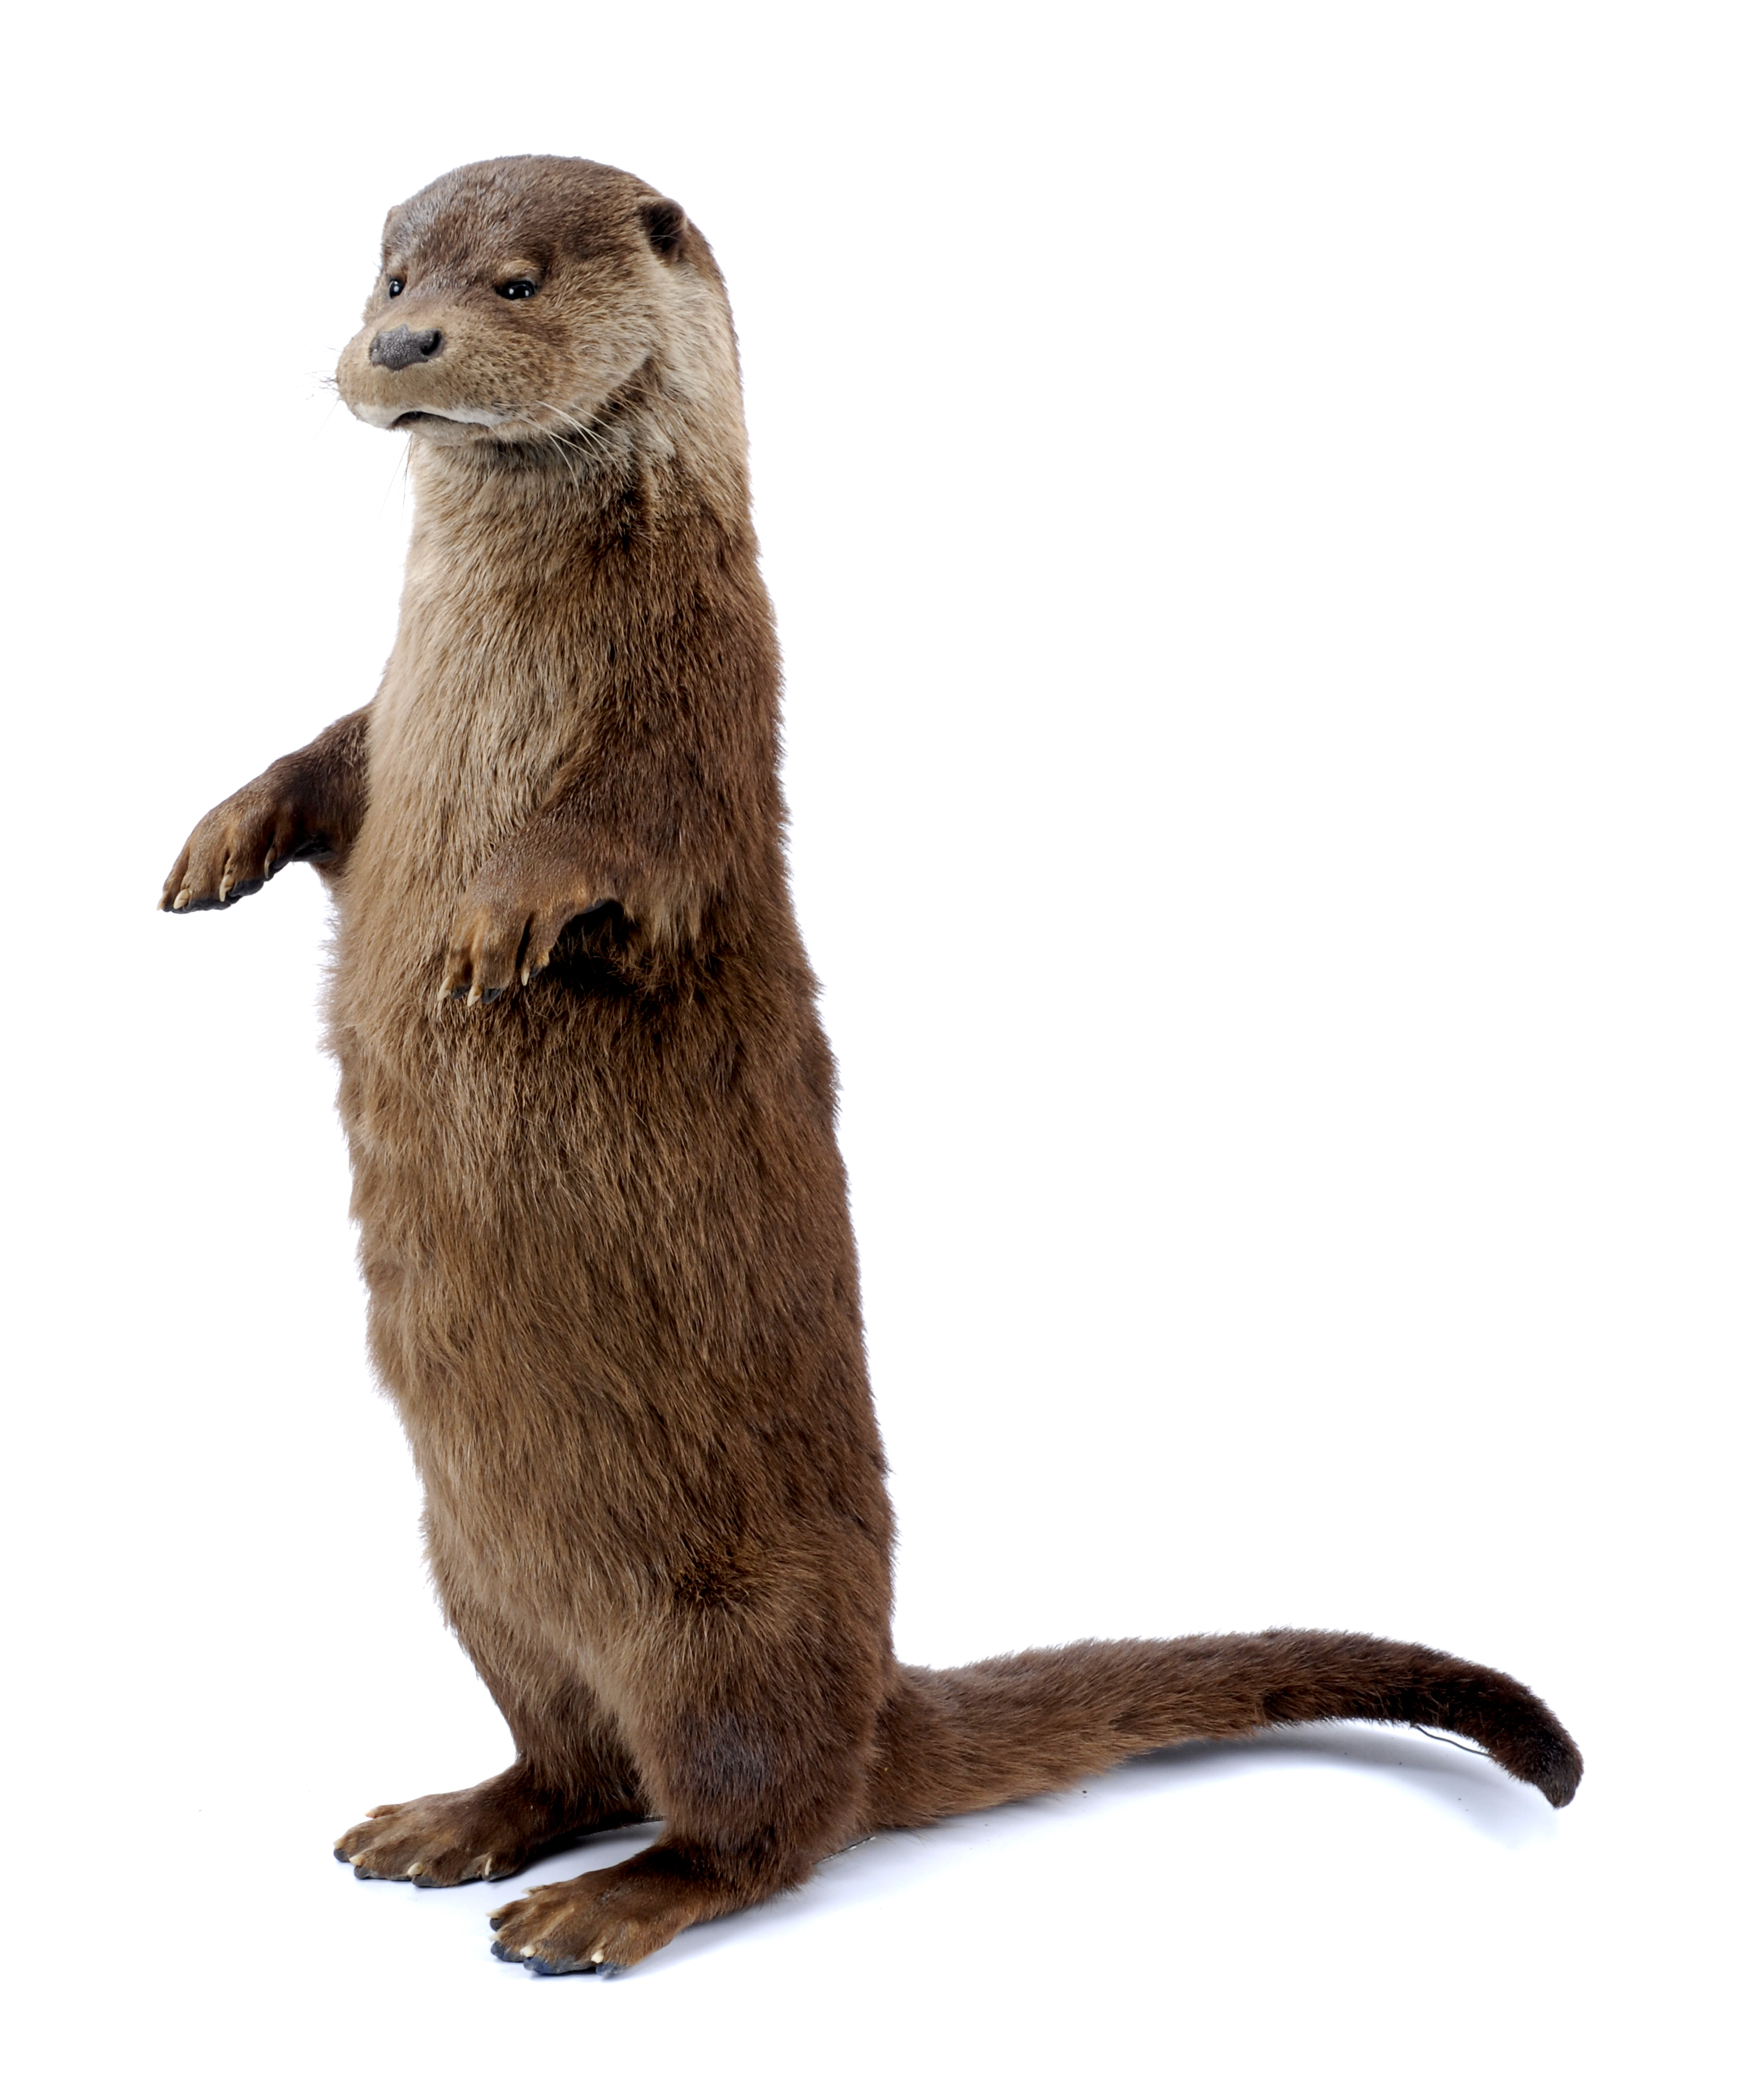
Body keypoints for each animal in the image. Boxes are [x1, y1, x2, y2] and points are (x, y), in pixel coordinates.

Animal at [159, 155, 1580, 1977]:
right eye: (393, 275)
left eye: (517, 282)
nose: (400, 344)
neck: (499, 660)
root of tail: (877, 1692)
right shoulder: (386, 733)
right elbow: (322, 761)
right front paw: (217, 838)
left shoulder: (700, 721)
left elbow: (615, 844)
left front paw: (486, 924)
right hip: (474, 1582)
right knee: (569, 1752)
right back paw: (455, 1822)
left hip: (721, 1628)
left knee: (762, 1818)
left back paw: (605, 1904)